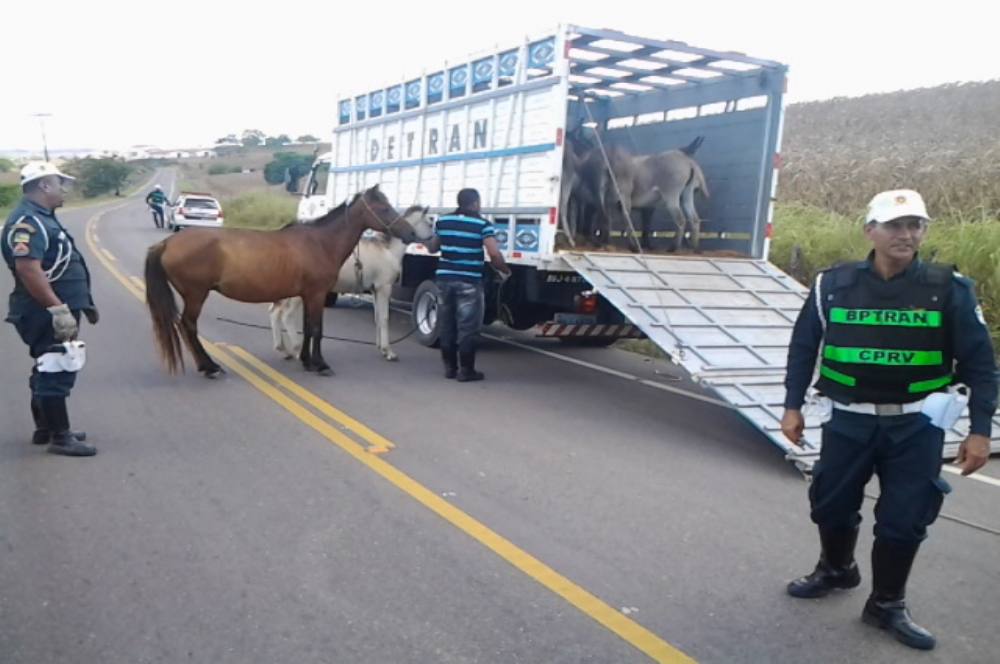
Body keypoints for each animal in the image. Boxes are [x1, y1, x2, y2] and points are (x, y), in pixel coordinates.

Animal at [272, 205, 432, 360]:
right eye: (430, 222)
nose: (435, 243)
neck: (388, 251)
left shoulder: (375, 290)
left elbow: (378, 318)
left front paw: (381, 348)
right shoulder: (384, 288)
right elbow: (385, 318)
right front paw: (389, 352)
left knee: (275, 312)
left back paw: (284, 350)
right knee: (286, 315)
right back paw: (296, 350)